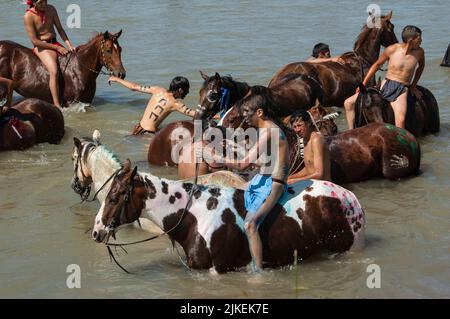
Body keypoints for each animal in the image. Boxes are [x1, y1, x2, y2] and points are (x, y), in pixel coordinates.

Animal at [92, 159, 366, 274]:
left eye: (114, 197)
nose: (96, 231)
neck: (195, 216)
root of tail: (349, 197)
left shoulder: (217, 270)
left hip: (345, 250)